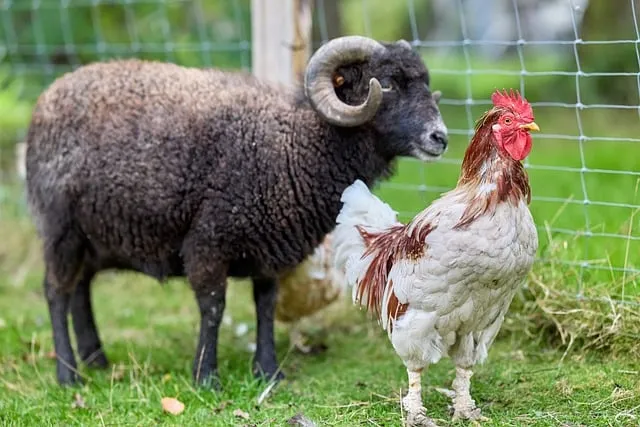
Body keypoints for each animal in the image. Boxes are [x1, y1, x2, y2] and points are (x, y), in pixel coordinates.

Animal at [24, 35, 448, 388]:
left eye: (425, 83)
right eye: (387, 84)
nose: (440, 137)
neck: (292, 146)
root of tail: (47, 98)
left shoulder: (269, 248)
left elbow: (265, 306)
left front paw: (268, 372)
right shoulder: (208, 241)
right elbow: (213, 307)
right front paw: (206, 377)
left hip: (94, 236)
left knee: (81, 288)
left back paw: (95, 359)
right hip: (60, 228)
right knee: (56, 292)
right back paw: (68, 376)